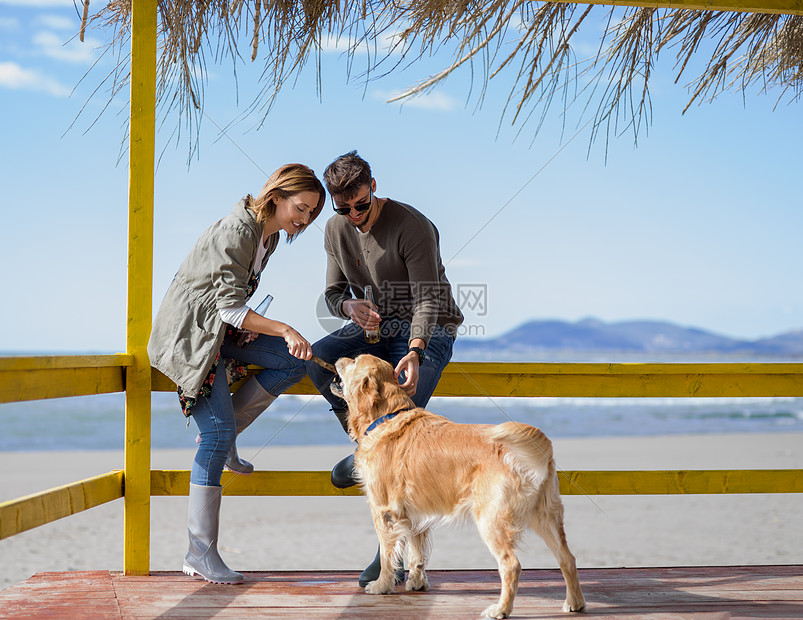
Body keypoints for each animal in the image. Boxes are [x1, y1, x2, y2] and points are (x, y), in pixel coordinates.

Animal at [330, 354, 588, 620]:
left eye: (354, 361)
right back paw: (574, 603)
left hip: (491, 519)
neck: (387, 416)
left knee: (511, 565)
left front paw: (381, 585)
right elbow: (416, 550)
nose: (339, 357)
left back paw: (500, 609)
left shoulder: (384, 511)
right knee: (567, 558)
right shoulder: (415, 512)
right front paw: (417, 582)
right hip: (545, 515)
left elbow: (386, 554)